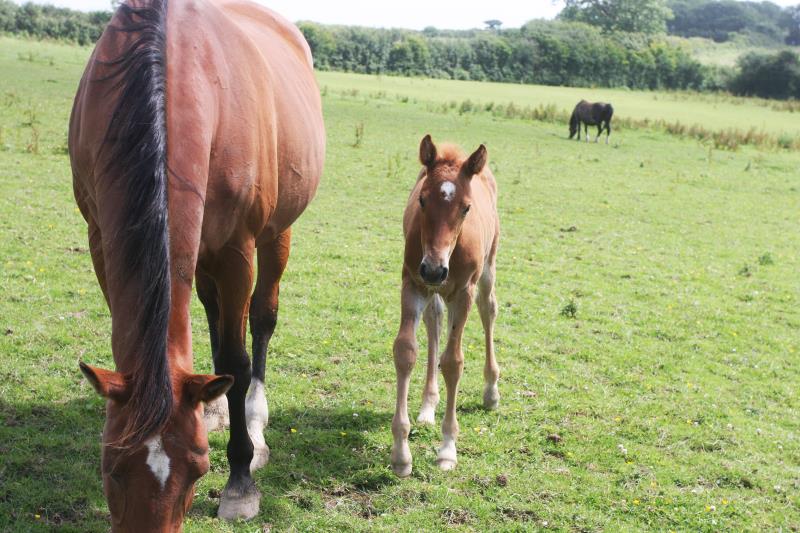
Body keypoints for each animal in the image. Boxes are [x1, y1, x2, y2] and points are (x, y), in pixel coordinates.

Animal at [69, 0, 324, 528]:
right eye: (111, 467)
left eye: (198, 470)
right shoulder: (101, 240)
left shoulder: (236, 250)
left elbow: (236, 359)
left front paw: (240, 481)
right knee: (209, 312)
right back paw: (216, 405)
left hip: (274, 236)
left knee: (260, 320)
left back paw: (253, 418)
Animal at [390, 135, 496, 476]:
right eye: (422, 200)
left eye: (466, 208)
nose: (435, 270)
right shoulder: (413, 283)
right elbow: (406, 351)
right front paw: (401, 454)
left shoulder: (463, 292)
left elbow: (453, 362)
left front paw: (448, 448)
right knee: (435, 320)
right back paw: (428, 406)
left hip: (487, 270)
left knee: (489, 310)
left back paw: (491, 391)